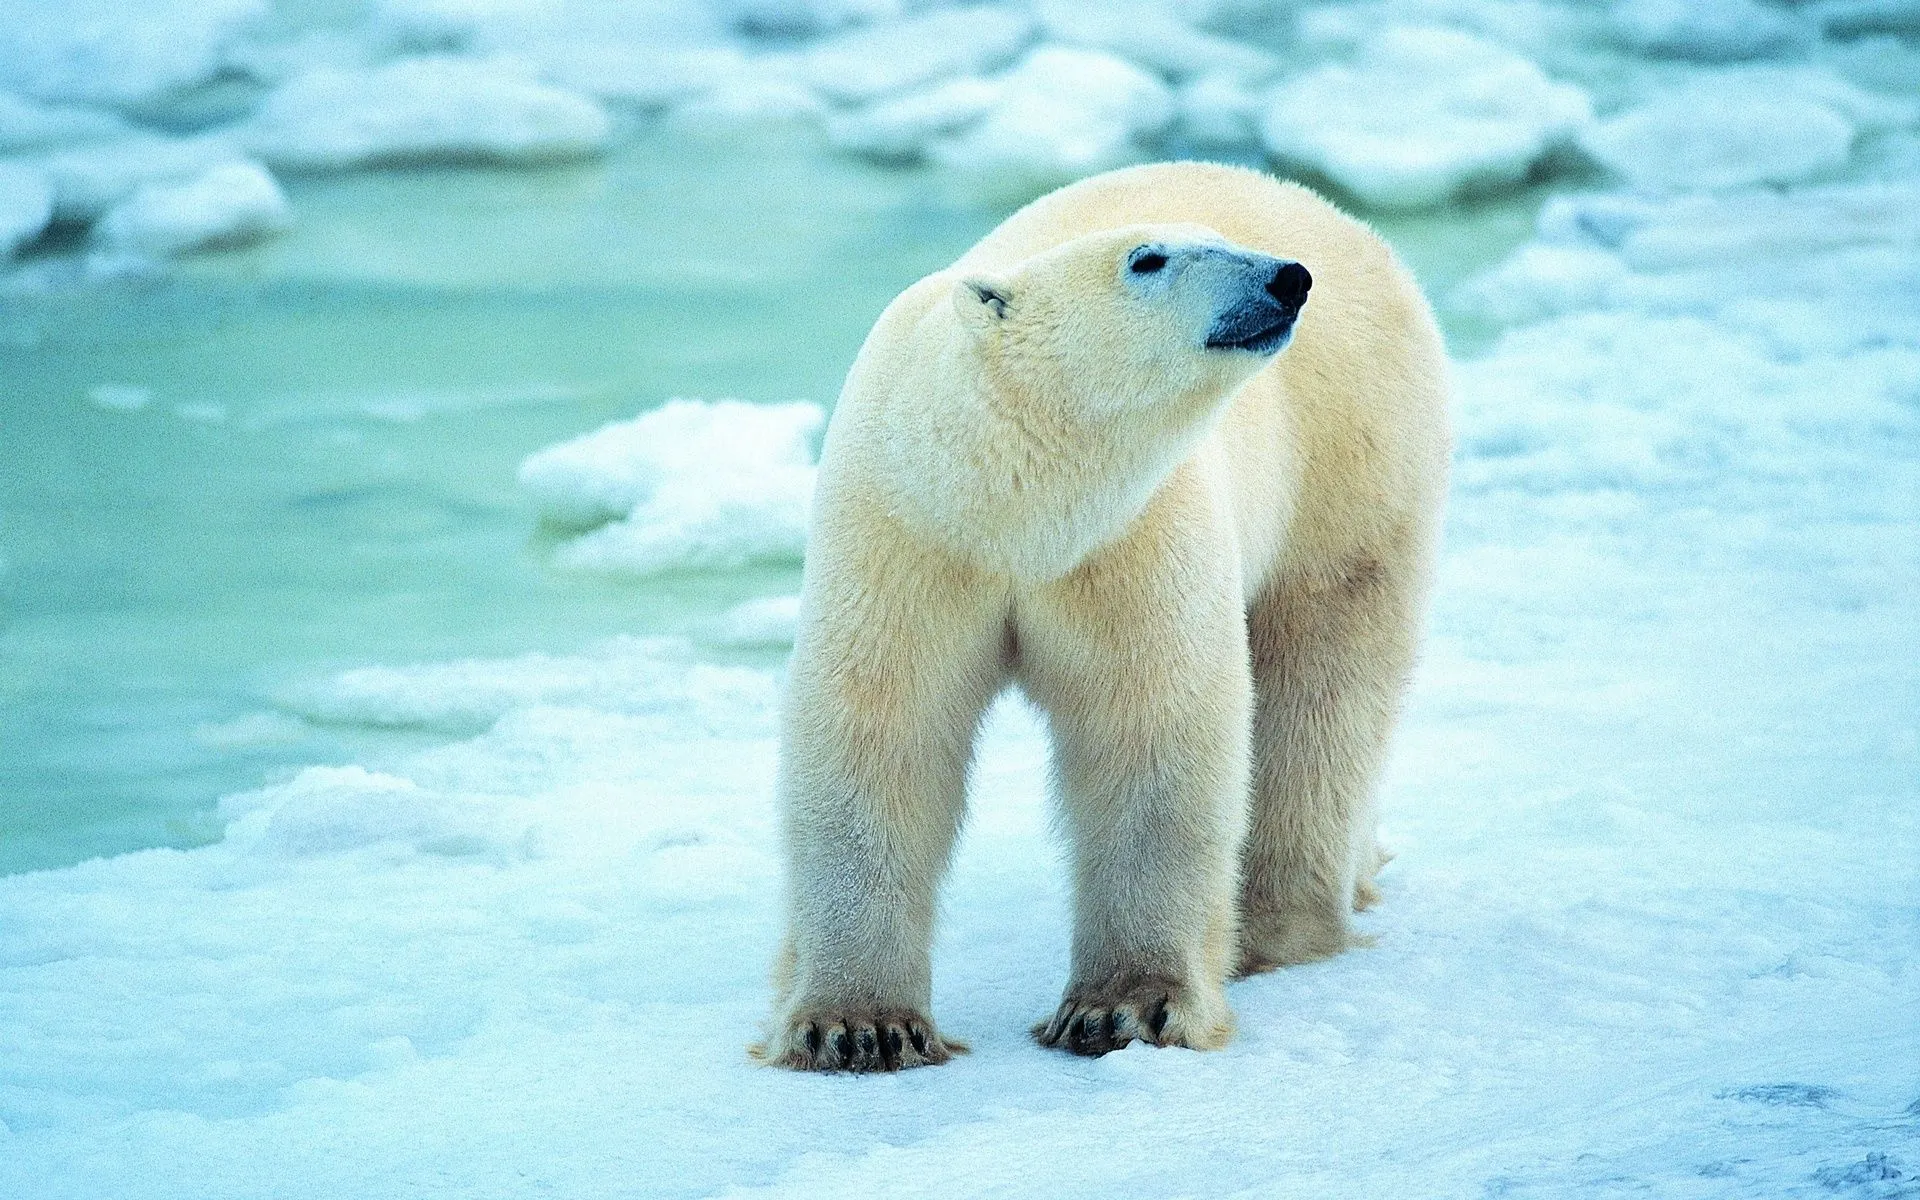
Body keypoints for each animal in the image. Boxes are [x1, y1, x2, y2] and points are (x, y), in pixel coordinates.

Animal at [756, 159, 1443, 1067]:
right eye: (1146, 259)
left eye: (1217, 240)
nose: (1287, 278)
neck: (1014, 511)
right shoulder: (908, 537)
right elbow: (880, 729)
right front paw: (858, 1026)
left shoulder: (1130, 535)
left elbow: (1149, 732)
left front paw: (1125, 1008)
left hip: (1349, 461)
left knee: (1324, 685)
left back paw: (1277, 927)